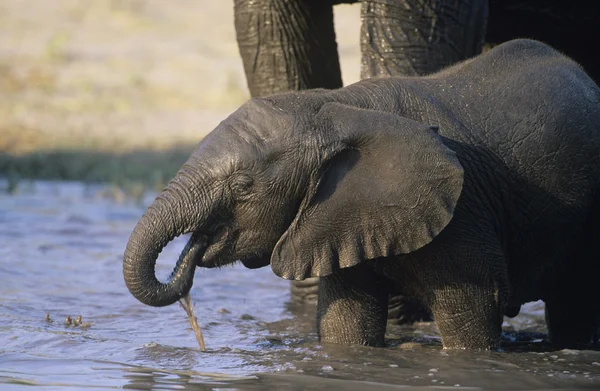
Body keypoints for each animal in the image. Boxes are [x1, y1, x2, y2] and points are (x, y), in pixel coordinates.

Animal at [123, 39, 600, 350]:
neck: (336, 108)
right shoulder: (338, 217)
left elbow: (473, 316)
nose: (193, 251)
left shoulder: (465, 213)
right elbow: (345, 325)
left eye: (242, 187)